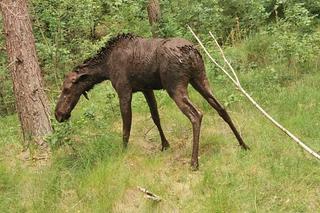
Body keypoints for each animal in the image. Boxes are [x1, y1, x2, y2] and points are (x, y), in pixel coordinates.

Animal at [55, 33, 250, 170]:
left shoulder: (124, 90)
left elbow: (126, 127)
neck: (105, 68)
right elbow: (155, 117)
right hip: (200, 79)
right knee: (221, 107)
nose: (58, 114)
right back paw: (243, 144)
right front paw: (165, 144)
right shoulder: (146, 89)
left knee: (196, 115)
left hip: (175, 86)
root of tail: (192, 51)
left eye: (66, 89)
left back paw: (194, 162)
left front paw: (122, 153)